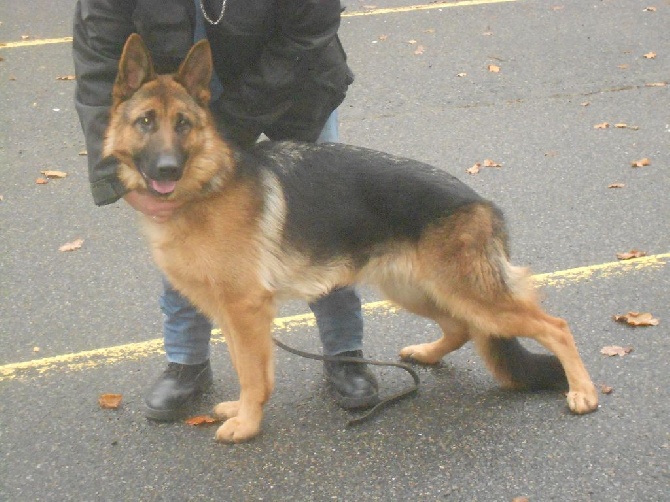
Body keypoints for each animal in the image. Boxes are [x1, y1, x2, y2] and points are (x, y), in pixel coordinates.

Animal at [105, 34, 600, 444]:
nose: (167, 169)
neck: (206, 186)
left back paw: (583, 391)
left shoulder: (247, 311)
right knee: (461, 327)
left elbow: (252, 374)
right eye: (146, 121)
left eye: (183, 124)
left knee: (555, 327)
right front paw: (244, 412)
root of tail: (482, 203)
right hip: (417, 289)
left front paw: (247, 425)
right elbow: (249, 370)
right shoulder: (231, 314)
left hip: (469, 293)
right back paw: (427, 353)